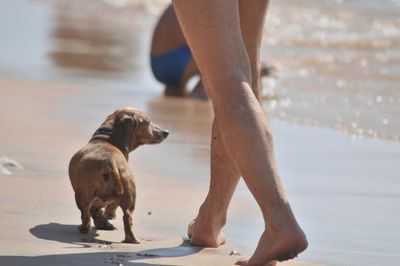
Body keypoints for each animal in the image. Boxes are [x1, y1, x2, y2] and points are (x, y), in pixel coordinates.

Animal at [69, 106, 169, 243]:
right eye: (148, 122)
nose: (166, 132)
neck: (107, 139)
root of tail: (110, 162)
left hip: (83, 195)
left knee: (86, 216)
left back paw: (84, 228)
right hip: (129, 194)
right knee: (127, 217)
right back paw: (131, 239)